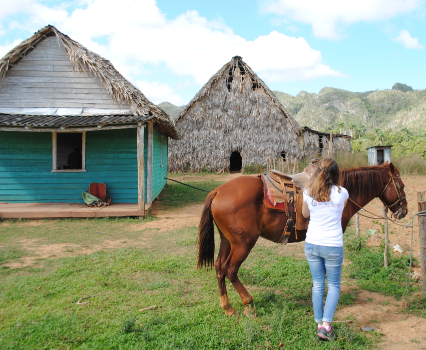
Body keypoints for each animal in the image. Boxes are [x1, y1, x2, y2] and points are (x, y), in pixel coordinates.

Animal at [198, 163, 408, 316]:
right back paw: (248, 303)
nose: (404, 211)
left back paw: (227, 307)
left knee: (219, 267)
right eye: (401, 186)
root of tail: (218, 191)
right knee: (230, 270)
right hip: (244, 243)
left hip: (227, 240)